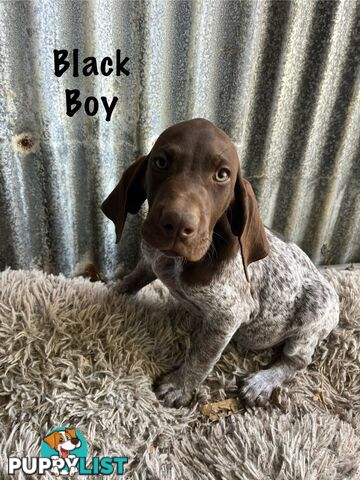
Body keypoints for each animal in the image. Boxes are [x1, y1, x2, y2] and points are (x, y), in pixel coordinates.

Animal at [102, 118, 340, 406]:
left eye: (222, 175)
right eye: (161, 162)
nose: (177, 223)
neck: (178, 262)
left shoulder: (227, 316)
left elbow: (201, 357)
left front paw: (179, 386)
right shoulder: (151, 261)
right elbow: (133, 279)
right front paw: (112, 289)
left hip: (313, 316)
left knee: (297, 360)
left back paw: (262, 382)